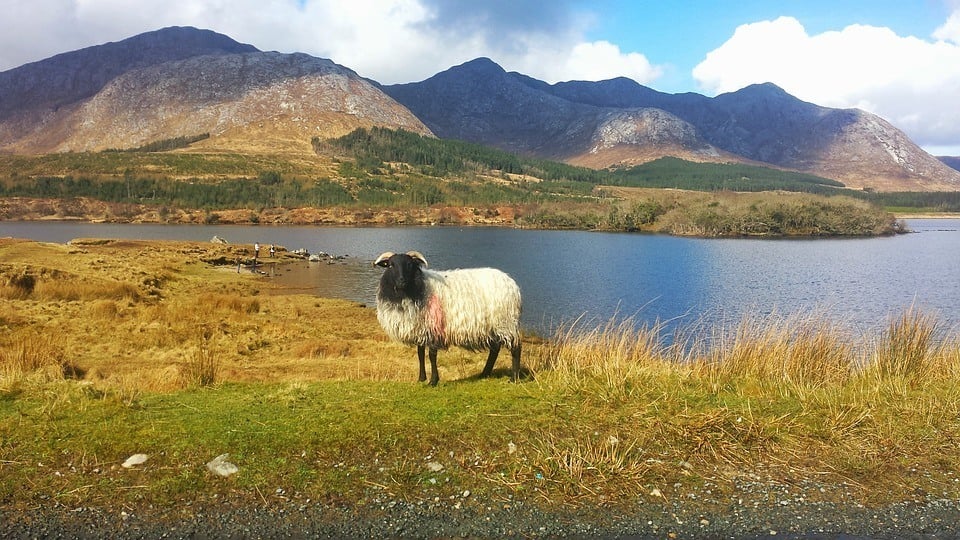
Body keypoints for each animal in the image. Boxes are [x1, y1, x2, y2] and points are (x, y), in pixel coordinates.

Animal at [376, 251, 524, 386]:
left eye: (409, 265)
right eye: (390, 265)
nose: (401, 281)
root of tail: (511, 283)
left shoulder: (434, 328)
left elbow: (432, 356)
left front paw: (433, 381)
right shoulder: (420, 328)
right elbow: (420, 354)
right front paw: (421, 379)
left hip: (506, 322)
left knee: (515, 347)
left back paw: (513, 379)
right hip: (494, 325)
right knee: (495, 350)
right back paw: (484, 373)